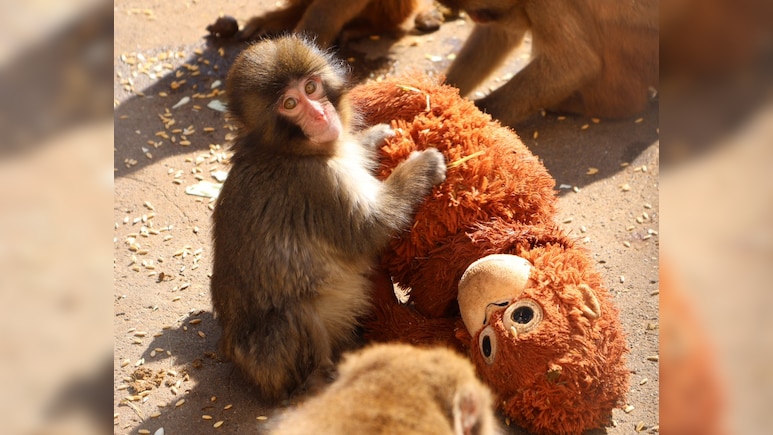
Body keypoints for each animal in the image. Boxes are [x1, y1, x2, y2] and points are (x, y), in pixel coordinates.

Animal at [210, 35, 447, 404]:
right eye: (290, 103)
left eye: (311, 87)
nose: (321, 114)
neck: (288, 150)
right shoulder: (317, 184)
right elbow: (370, 229)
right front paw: (421, 167)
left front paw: (373, 137)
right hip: (272, 360)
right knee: (294, 315)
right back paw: (322, 379)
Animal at [438, 0, 659, 126]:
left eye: (477, 12)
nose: (475, 17)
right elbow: (500, 34)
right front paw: (442, 90)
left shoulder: (546, 3)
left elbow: (576, 64)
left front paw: (476, 116)